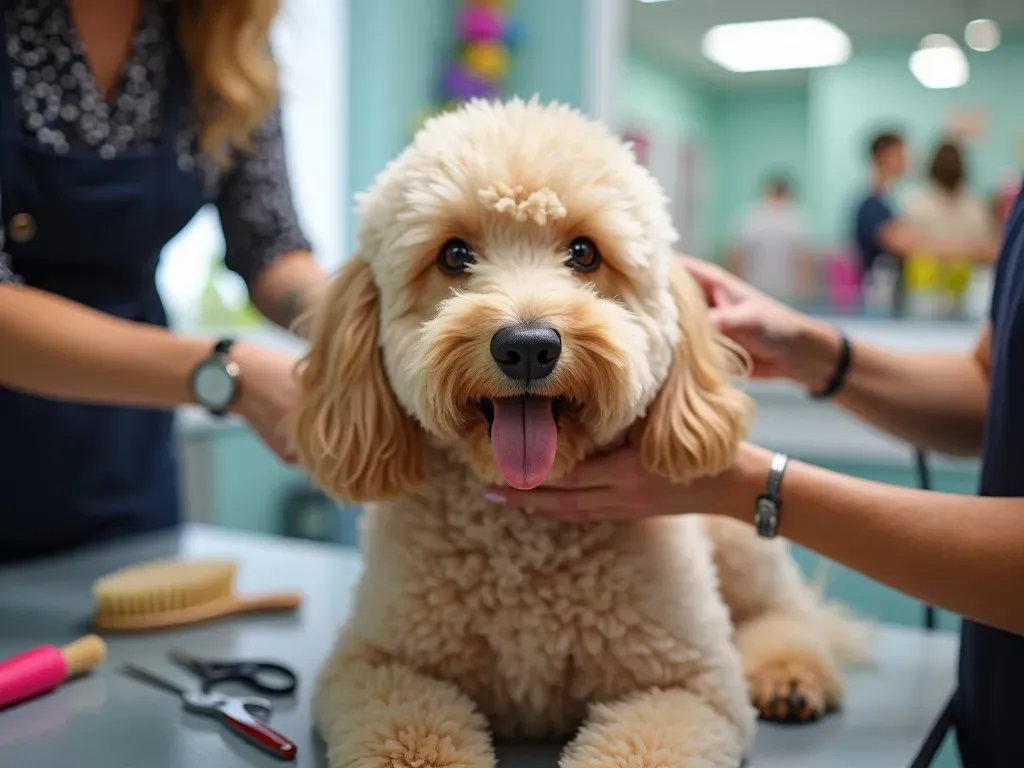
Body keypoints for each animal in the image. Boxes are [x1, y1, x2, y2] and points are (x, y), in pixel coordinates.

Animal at [292, 97, 868, 768]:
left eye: (585, 253)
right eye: (455, 255)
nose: (527, 346)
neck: (527, 537)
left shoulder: (690, 683)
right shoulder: (374, 664)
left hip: (741, 543)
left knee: (787, 612)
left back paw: (790, 673)